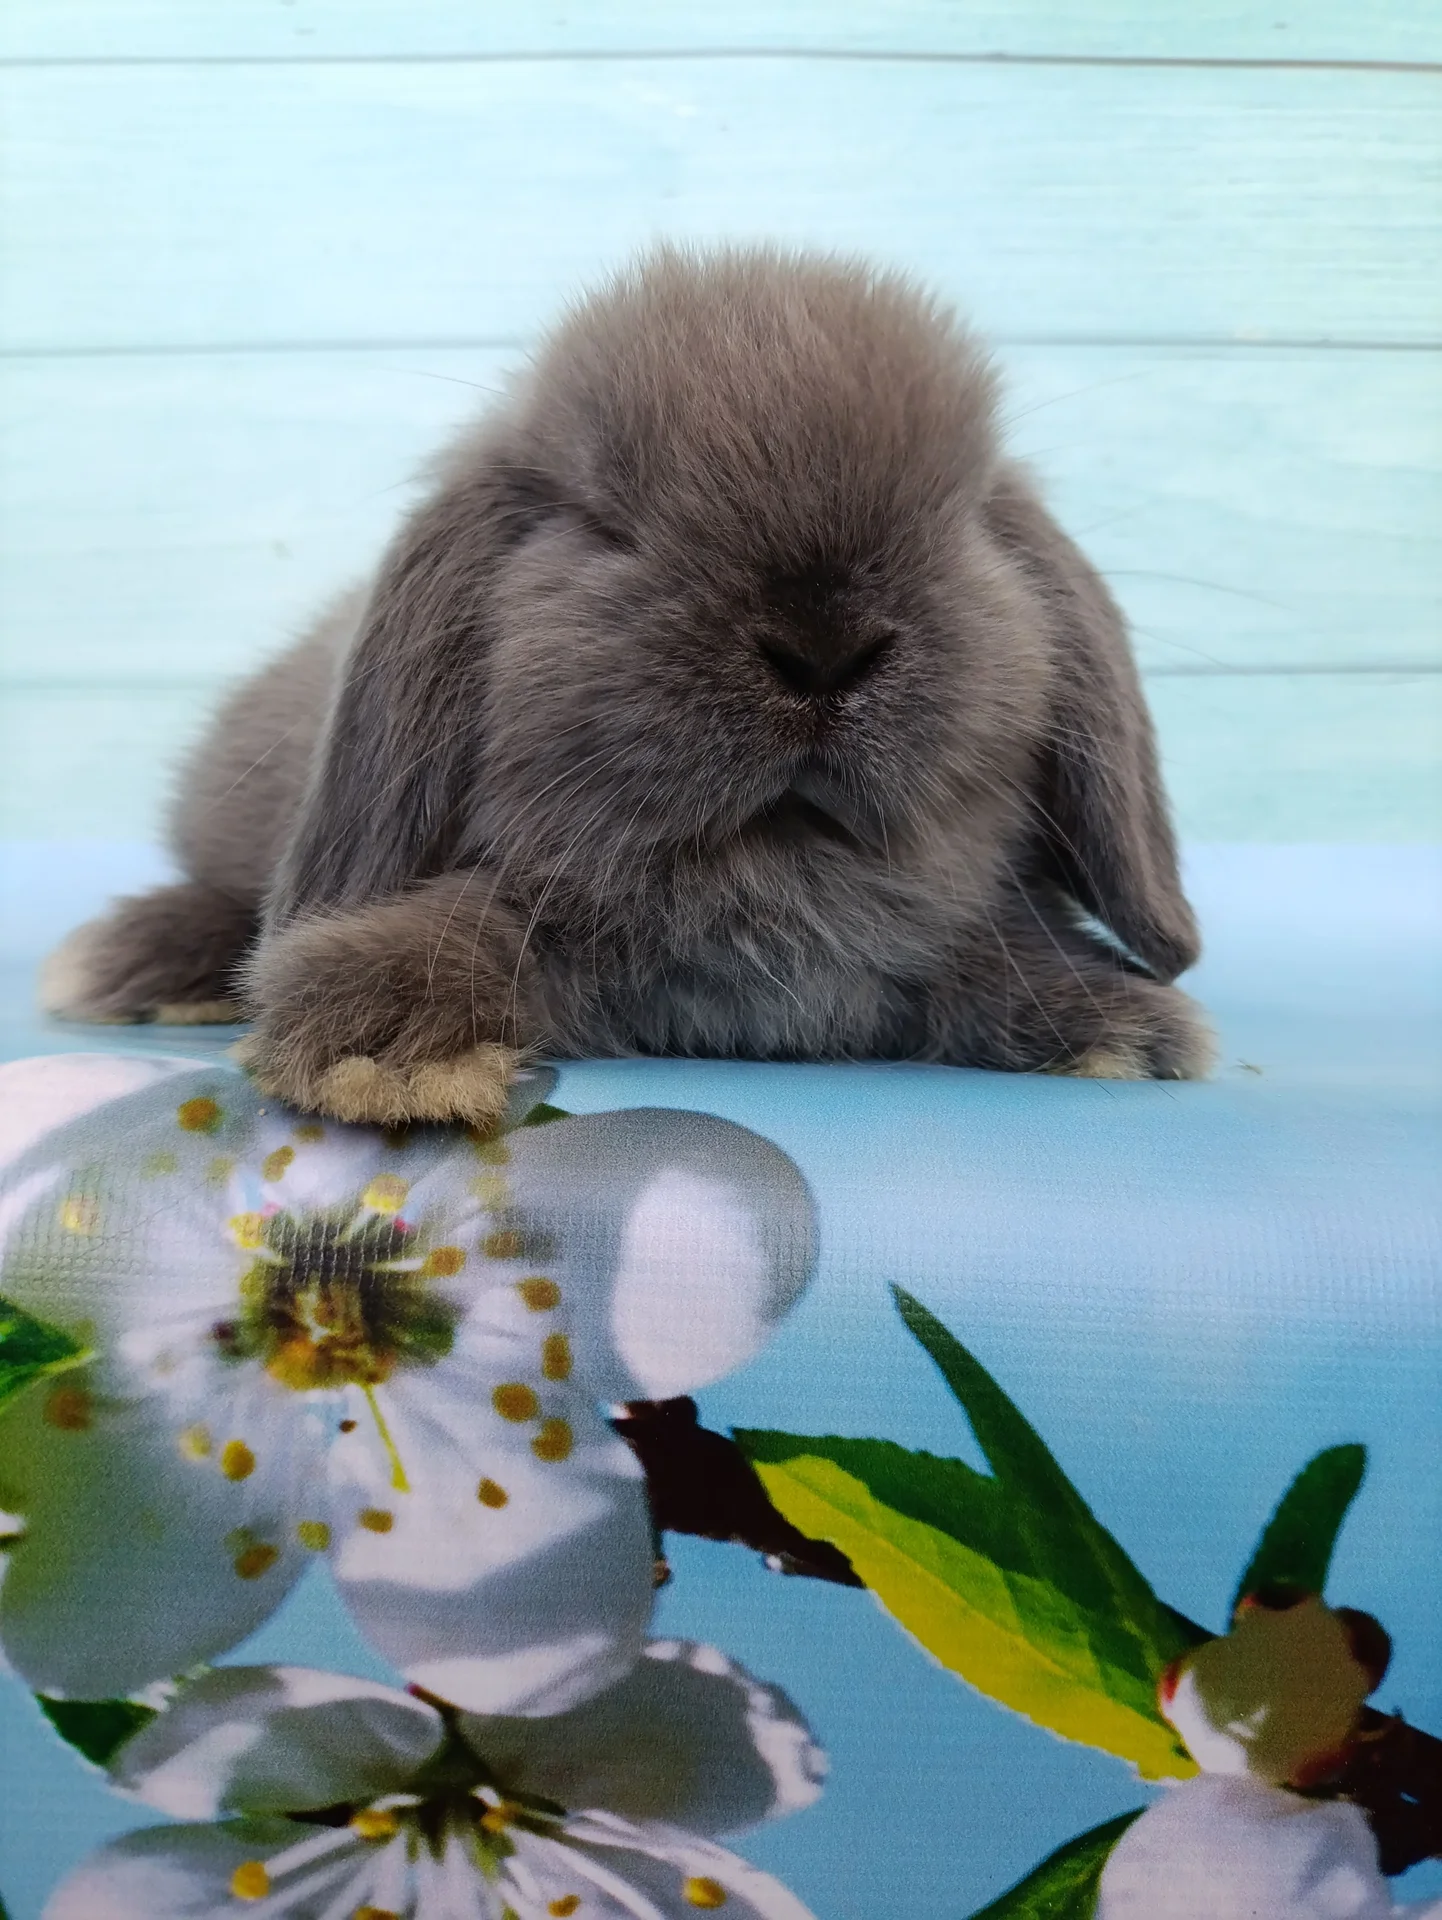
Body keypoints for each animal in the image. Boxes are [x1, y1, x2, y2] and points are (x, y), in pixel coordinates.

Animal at [43, 245, 1213, 1125]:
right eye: (605, 524)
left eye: (962, 521)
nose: (821, 648)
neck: (770, 886)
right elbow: (470, 929)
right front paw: (376, 1048)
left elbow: (986, 953)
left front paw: (1118, 1028)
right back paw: (129, 967)